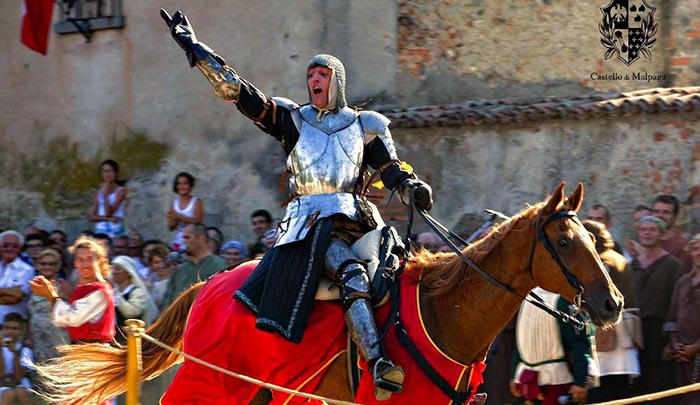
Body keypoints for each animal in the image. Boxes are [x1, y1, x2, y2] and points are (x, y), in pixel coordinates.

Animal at [34, 183, 624, 404]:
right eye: (565, 242)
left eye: (591, 240)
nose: (611, 304)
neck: (445, 314)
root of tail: (205, 285)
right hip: (214, 380)